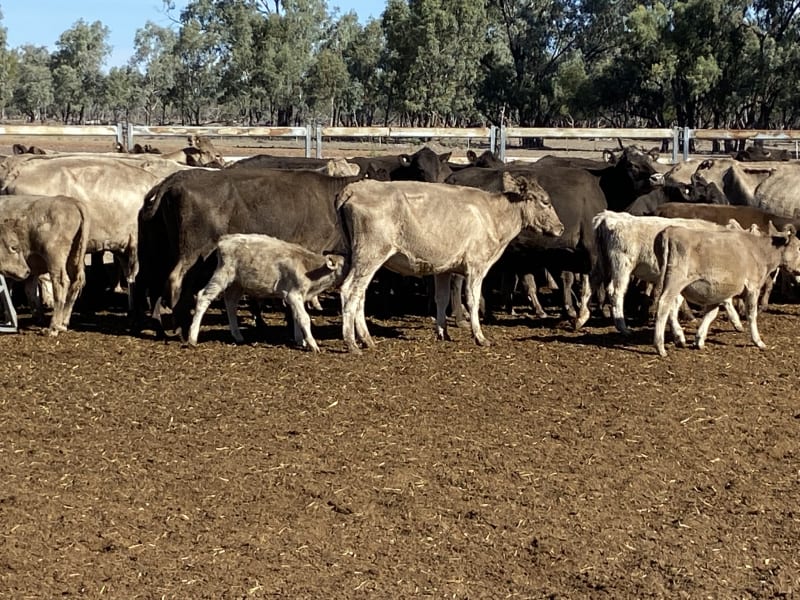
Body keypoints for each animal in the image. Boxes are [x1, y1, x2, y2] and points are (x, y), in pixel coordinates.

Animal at [0, 195, 90, 334]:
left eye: (14, 247)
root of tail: (71, 201)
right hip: (75, 255)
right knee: (75, 283)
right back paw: (62, 323)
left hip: (54, 257)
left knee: (61, 283)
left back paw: (53, 327)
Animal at [187, 234, 346, 351]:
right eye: (345, 264)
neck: (309, 268)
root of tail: (225, 239)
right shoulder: (293, 295)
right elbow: (304, 318)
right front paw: (312, 345)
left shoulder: (296, 297)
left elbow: (296, 317)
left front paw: (300, 340)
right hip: (222, 275)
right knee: (204, 297)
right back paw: (192, 338)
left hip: (238, 283)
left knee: (231, 303)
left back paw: (237, 335)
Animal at [336, 173, 564, 352]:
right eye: (545, 201)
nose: (560, 228)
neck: (493, 215)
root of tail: (353, 189)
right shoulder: (476, 266)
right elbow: (472, 300)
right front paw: (480, 336)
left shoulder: (443, 269)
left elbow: (442, 299)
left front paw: (442, 333)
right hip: (370, 255)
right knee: (350, 290)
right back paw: (352, 343)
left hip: (362, 259)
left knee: (360, 294)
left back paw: (366, 339)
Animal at [652, 223, 800, 356]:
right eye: (798, 247)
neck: (759, 251)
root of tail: (670, 230)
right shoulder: (753, 288)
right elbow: (752, 314)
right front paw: (758, 341)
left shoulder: (716, 292)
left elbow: (711, 314)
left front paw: (699, 340)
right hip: (676, 280)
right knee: (664, 304)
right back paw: (660, 347)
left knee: (673, 307)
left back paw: (679, 338)